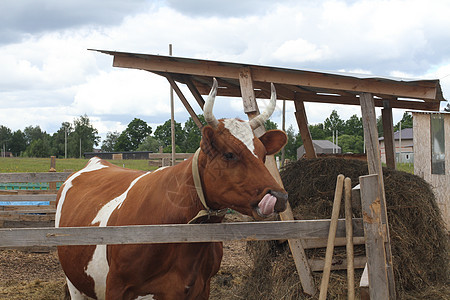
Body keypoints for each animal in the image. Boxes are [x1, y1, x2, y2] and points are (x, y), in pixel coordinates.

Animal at [56, 78, 288, 298]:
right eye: (229, 154)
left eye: (263, 154)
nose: (278, 196)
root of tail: (96, 160)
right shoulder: (116, 287)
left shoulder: (201, 288)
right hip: (75, 283)